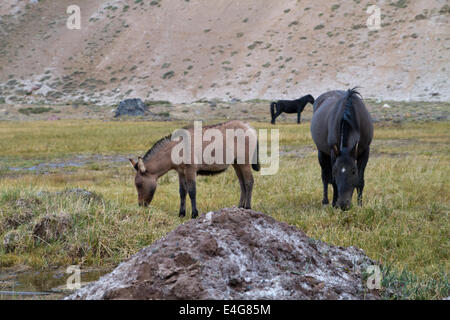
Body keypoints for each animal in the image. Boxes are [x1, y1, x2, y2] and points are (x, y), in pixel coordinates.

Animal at [128, 121, 260, 219]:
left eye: (139, 184)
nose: (141, 205)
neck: (176, 149)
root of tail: (250, 128)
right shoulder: (181, 172)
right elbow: (182, 192)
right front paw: (181, 213)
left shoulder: (190, 170)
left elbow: (192, 191)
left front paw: (194, 213)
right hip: (237, 163)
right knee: (242, 183)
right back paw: (240, 206)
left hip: (244, 163)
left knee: (249, 182)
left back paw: (247, 207)